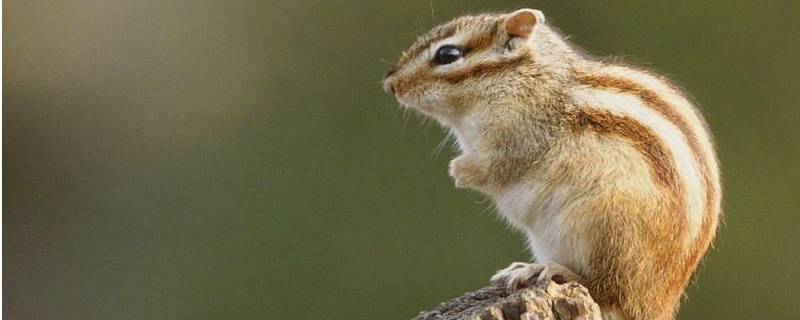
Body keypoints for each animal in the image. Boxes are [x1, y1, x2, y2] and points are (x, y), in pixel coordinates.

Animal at [384, 8, 720, 320]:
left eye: (448, 54)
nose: (390, 84)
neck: (521, 77)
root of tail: (656, 305)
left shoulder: (520, 136)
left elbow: (496, 167)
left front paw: (459, 171)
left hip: (605, 230)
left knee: (606, 290)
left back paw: (551, 271)